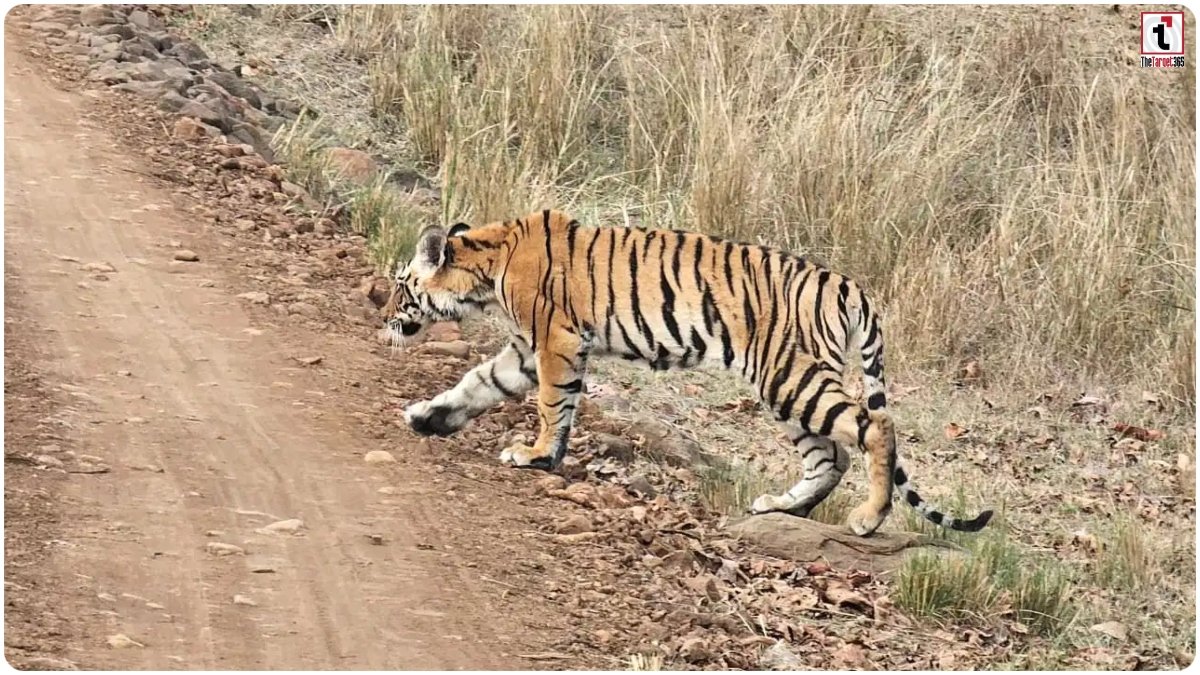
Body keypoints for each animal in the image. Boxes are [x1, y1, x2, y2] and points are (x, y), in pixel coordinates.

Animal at [382, 209, 993, 536]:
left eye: (399, 286)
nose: (384, 319)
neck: (486, 266)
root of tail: (850, 285)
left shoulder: (554, 342)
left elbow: (551, 405)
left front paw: (534, 455)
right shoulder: (529, 351)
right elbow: (478, 384)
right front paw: (428, 417)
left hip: (790, 375)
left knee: (875, 429)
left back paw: (868, 518)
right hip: (787, 388)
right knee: (832, 456)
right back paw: (782, 507)